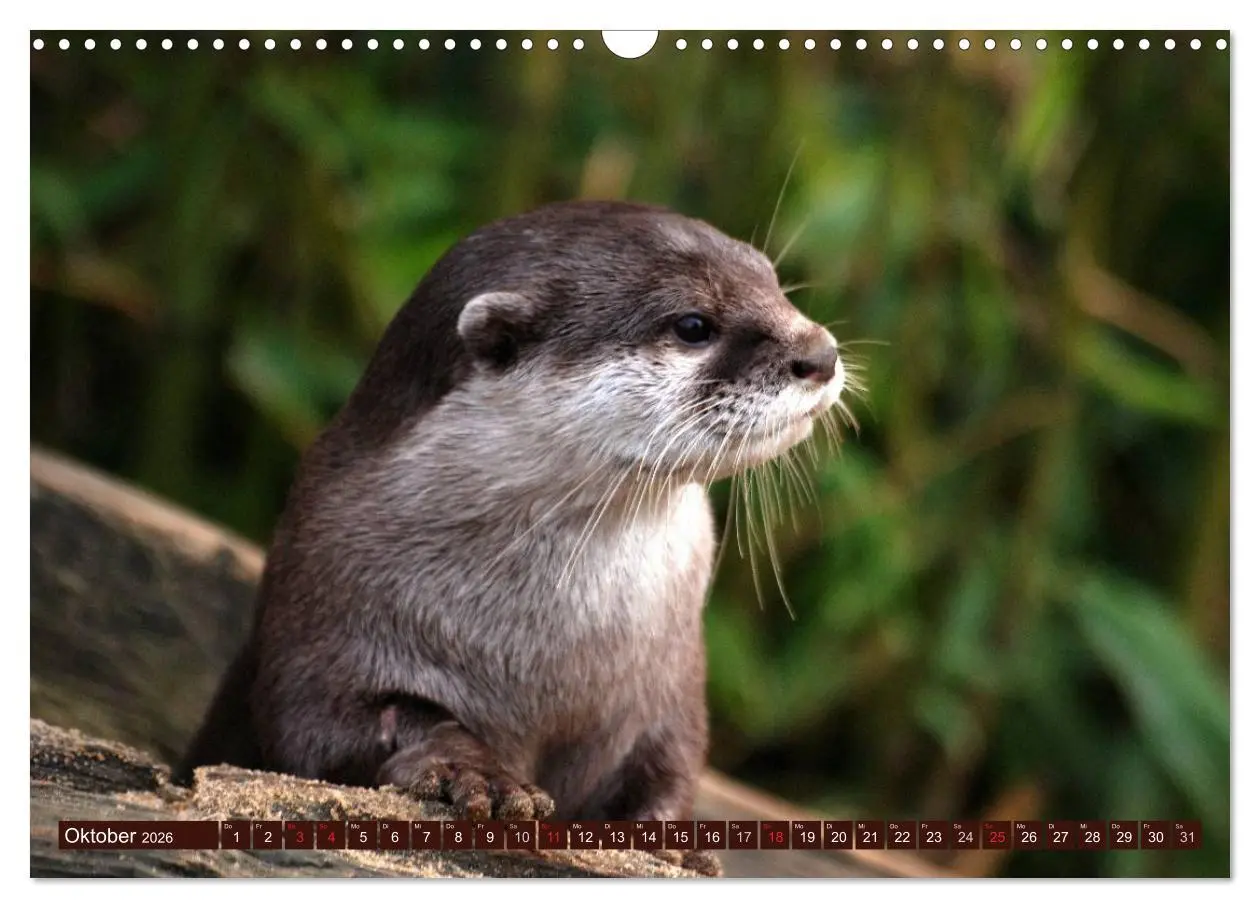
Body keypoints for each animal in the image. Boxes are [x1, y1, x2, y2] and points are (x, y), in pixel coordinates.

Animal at [180, 200, 845, 862]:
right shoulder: (321, 606)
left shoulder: (671, 688)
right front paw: (475, 772)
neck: (549, 653)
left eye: (772, 282)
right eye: (692, 324)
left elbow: (671, 763)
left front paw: (672, 838)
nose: (821, 353)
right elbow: (329, 728)